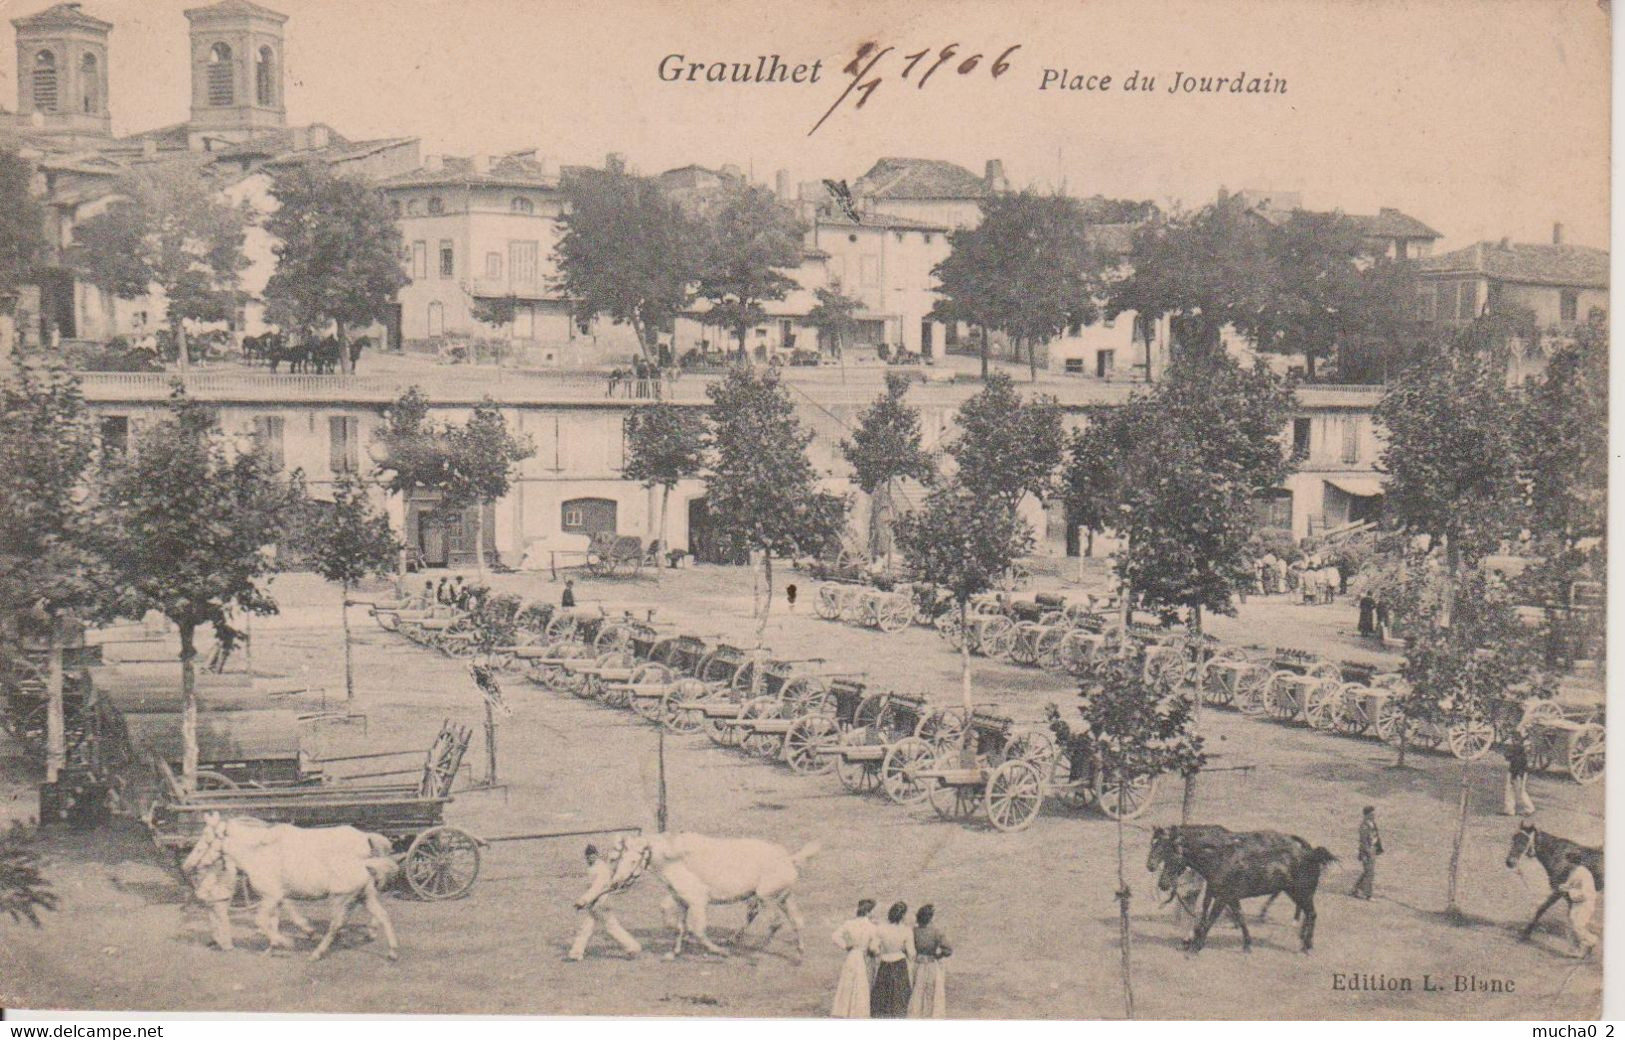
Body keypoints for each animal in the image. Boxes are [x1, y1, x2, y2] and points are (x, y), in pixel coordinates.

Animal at [181, 812, 399, 962]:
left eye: (206, 838)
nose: (186, 864)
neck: (260, 852)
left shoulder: (271, 896)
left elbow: (262, 920)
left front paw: (286, 942)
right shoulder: (277, 896)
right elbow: (275, 920)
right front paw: (273, 947)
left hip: (340, 898)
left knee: (337, 924)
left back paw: (317, 953)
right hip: (364, 894)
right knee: (382, 915)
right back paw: (390, 950)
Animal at [581, 832, 819, 962]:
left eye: (632, 860)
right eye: (618, 859)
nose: (615, 883)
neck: (676, 860)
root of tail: (789, 858)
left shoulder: (698, 901)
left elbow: (698, 930)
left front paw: (720, 952)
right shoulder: (681, 901)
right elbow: (680, 927)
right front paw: (674, 953)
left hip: (766, 897)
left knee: (774, 923)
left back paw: (755, 951)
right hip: (783, 898)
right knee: (796, 921)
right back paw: (798, 954)